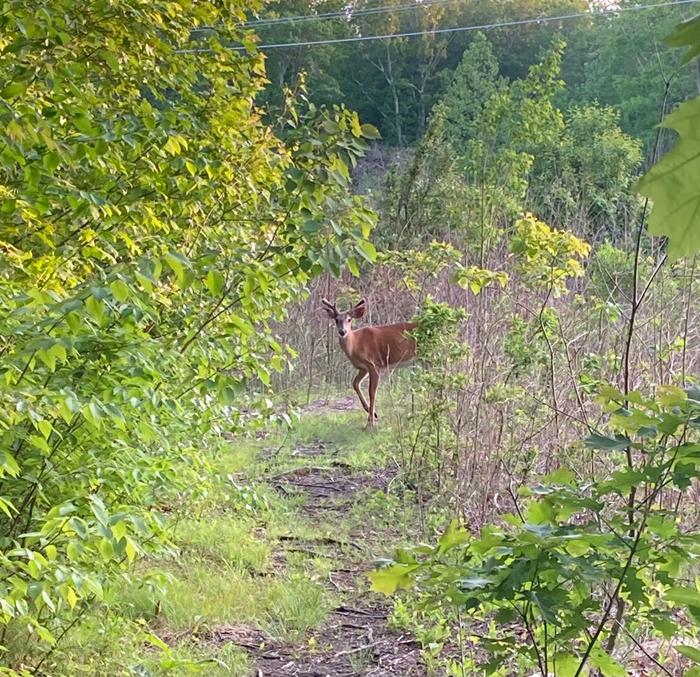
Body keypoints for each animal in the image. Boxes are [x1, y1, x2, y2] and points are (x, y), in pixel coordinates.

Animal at [322, 298, 416, 428]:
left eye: (349, 319)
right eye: (336, 320)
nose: (342, 332)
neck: (355, 344)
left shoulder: (374, 364)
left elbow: (372, 392)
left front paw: (370, 423)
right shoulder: (363, 367)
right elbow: (355, 383)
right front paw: (373, 413)